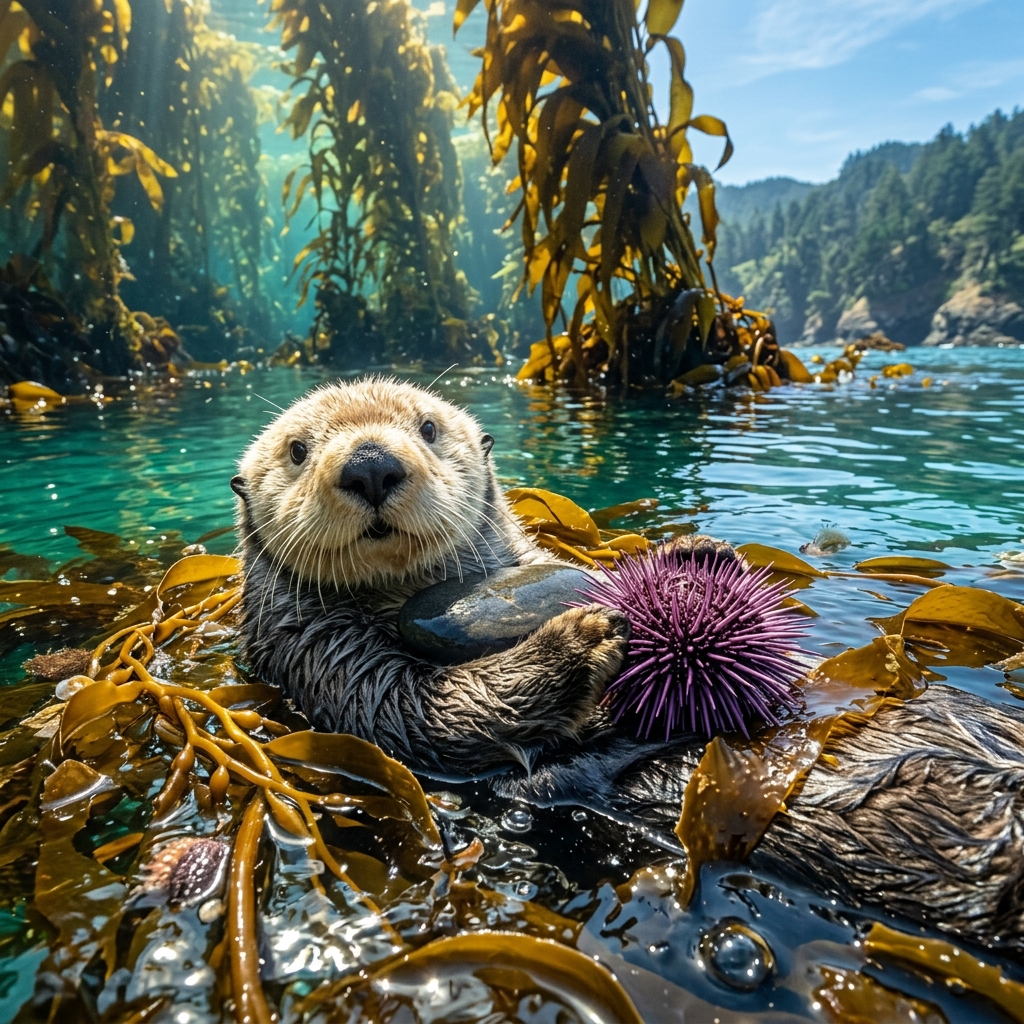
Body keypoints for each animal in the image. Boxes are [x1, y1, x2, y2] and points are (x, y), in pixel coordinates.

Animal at [232, 377, 1024, 954]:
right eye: (297, 449)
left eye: (427, 428)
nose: (370, 463)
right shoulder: (327, 663)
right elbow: (435, 715)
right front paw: (577, 642)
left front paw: (696, 556)